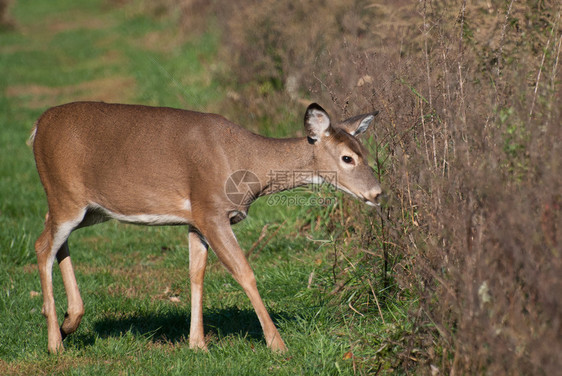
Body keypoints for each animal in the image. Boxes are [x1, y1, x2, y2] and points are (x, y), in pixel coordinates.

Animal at [30, 101, 380, 354]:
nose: (377, 193)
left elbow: (196, 273)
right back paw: (55, 343)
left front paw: (197, 344)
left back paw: (69, 321)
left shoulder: (196, 220)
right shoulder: (211, 210)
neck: (250, 165)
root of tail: (37, 127)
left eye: (366, 153)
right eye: (347, 158)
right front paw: (278, 345)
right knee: (42, 245)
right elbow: (245, 273)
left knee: (53, 236)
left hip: (90, 208)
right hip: (65, 193)